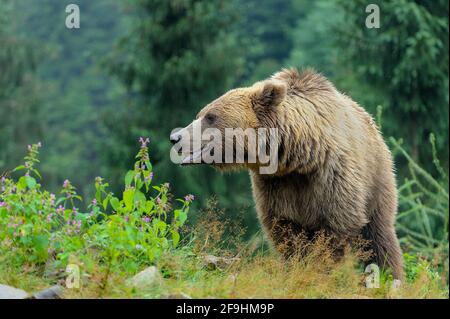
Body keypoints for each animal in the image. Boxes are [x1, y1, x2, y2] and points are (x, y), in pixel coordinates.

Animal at [171, 68, 402, 280]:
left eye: (210, 117)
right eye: (200, 114)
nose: (175, 137)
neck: (299, 160)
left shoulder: (332, 176)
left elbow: (337, 225)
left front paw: (323, 268)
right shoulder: (275, 185)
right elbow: (285, 230)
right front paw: (297, 266)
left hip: (376, 180)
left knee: (378, 235)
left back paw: (389, 275)